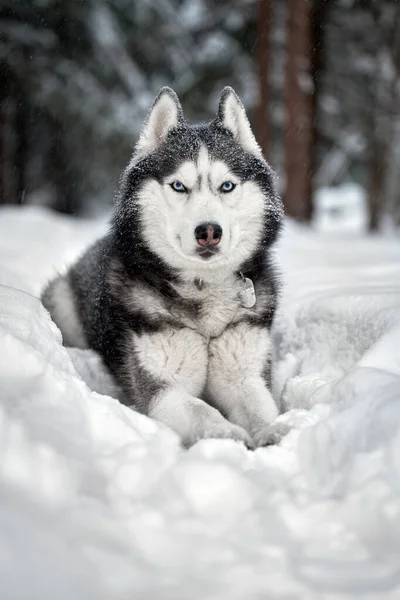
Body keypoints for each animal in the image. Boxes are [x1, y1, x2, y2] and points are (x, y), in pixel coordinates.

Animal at [42, 86, 286, 448]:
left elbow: (258, 405)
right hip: (61, 299)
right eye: (179, 186)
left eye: (227, 186)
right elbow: (201, 410)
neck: (203, 289)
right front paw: (226, 433)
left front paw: (272, 430)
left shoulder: (243, 371)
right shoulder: (162, 388)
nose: (208, 231)